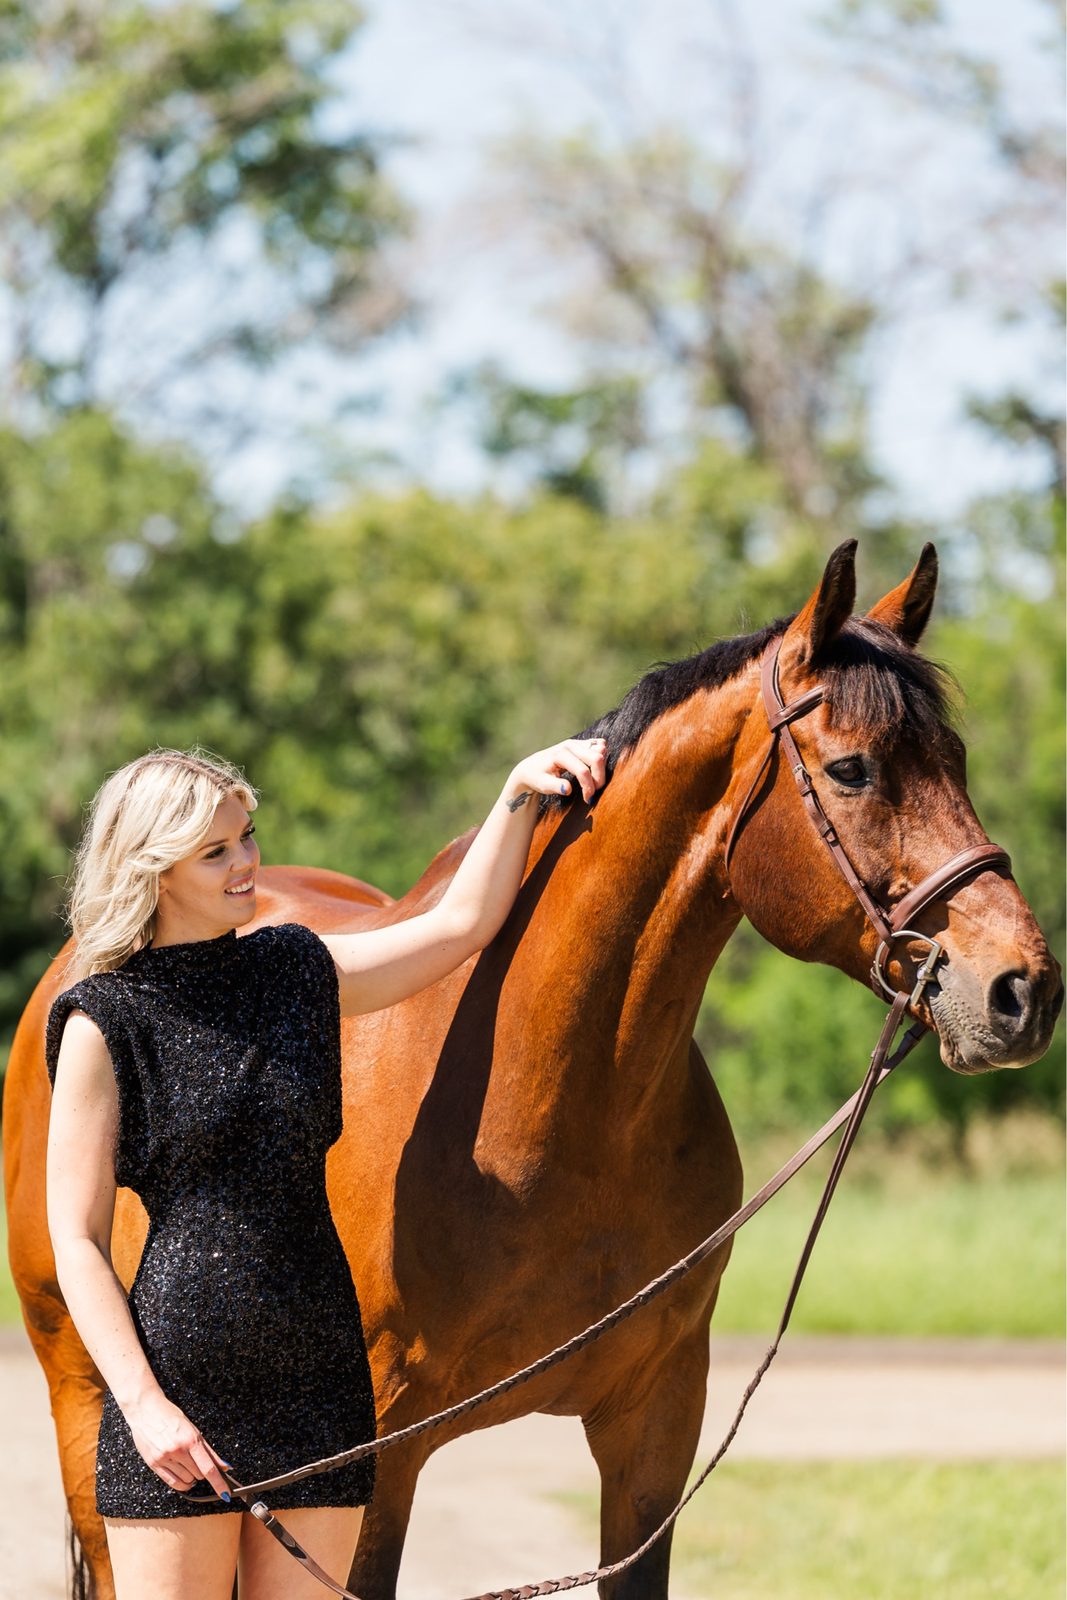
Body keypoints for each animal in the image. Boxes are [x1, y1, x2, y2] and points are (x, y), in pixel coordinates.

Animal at [4, 540, 1062, 1600]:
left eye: (956, 760)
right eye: (851, 768)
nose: (1022, 990)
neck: (556, 1109)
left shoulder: (653, 1431)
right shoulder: (377, 1463)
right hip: (90, 1408)